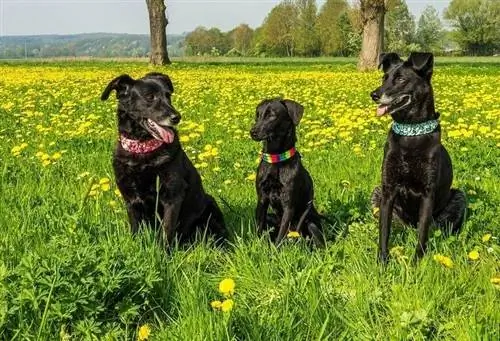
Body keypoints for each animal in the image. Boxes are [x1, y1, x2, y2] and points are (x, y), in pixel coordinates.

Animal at [249, 97, 326, 246]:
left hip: (310, 224)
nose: (252, 132)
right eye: (257, 115)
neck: (276, 159)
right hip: (272, 217)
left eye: (271, 115)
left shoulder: (288, 205)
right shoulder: (262, 199)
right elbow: (259, 227)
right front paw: (257, 246)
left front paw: (275, 250)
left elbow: (281, 235)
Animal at [370, 51, 466, 262]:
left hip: (459, 197)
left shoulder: (427, 193)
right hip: (376, 193)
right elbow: (384, 230)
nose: (374, 94)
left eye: (400, 79)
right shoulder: (388, 190)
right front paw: (382, 261)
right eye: (384, 78)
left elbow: (423, 233)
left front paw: (416, 262)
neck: (410, 132)